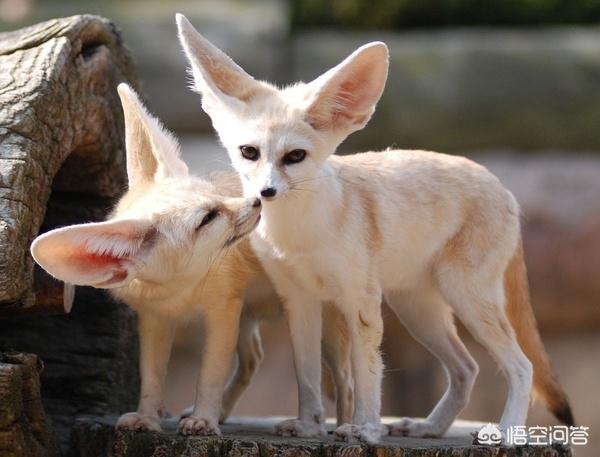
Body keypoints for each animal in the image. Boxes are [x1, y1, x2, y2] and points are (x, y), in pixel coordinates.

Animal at [30, 83, 354, 434]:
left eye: (216, 196)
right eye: (208, 218)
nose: (256, 201)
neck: (181, 292)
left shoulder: (222, 311)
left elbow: (209, 374)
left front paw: (204, 419)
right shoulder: (156, 317)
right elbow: (152, 376)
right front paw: (148, 416)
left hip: (323, 331)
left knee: (346, 381)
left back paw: (344, 427)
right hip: (250, 319)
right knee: (253, 358)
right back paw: (227, 411)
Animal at [176, 13, 576, 442]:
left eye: (295, 157)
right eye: (249, 152)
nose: (265, 192)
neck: (300, 236)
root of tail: (502, 187)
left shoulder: (360, 302)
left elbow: (366, 376)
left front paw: (364, 429)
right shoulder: (299, 300)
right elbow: (307, 375)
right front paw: (309, 425)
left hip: (465, 299)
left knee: (522, 366)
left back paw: (505, 432)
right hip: (418, 311)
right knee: (467, 368)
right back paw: (430, 427)